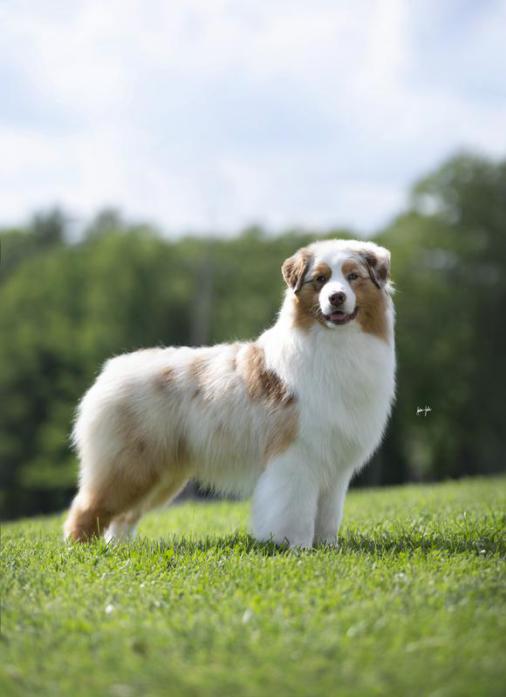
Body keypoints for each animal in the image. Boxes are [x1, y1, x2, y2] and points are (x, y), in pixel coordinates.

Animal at [64, 239, 395, 548]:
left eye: (353, 277)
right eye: (320, 279)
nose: (336, 298)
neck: (336, 344)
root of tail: (110, 371)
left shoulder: (334, 467)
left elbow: (328, 515)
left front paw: (327, 547)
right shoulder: (295, 457)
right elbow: (295, 512)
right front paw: (297, 547)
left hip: (161, 474)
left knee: (122, 517)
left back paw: (118, 549)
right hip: (127, 467)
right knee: (88, 509)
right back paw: (79, 551)